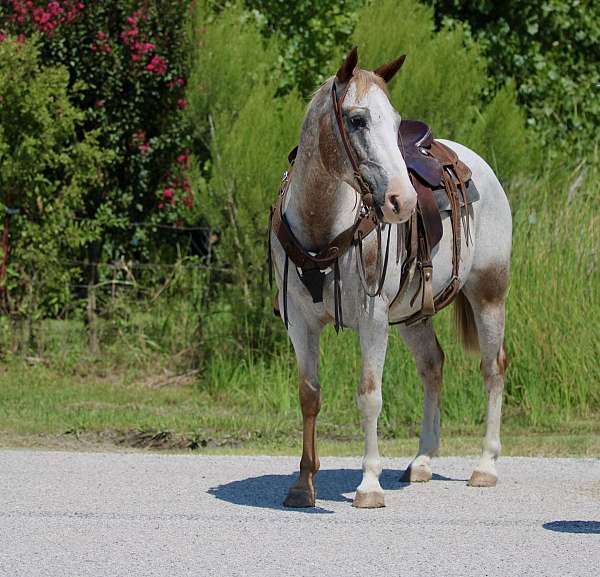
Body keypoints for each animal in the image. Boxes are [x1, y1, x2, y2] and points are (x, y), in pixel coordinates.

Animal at [270, 49, 510, 508]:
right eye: (357, 119)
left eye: (396, 121)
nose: (404, 200)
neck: (321, 226)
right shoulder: (300, 322)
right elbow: (309, 395)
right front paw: (302, 483)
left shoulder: (373, 319)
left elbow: (369, 395)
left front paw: (368, 485)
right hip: (415, 315)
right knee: (433, 366)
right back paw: (422, 461)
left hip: (489, 294)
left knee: (493, 367)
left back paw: (486, 466)